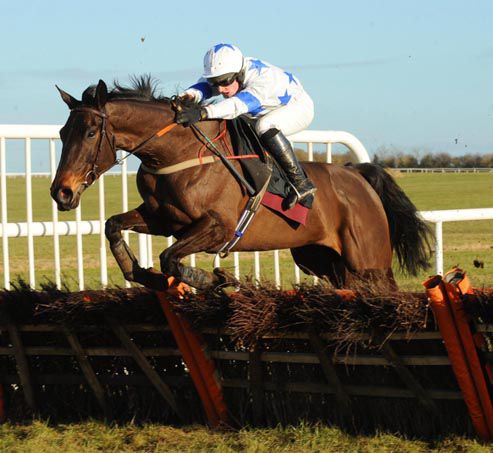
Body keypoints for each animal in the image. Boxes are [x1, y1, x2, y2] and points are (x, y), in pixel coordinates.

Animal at [49, 76, 426, 292]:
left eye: (90, 132)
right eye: (63, 133)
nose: (61, 192)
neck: (176, 154)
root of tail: (357, 173)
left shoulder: (218, 227)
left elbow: (170, 257)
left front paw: (214, 279)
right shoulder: (164, 219)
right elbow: (114, 226)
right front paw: (143, 274)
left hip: (368, 263)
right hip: (322, 259)